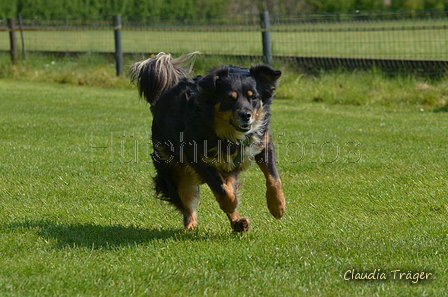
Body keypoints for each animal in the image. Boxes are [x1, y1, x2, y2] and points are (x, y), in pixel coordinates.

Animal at [128, 52, 286, 230]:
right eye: (229, 98)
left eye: (254, 97)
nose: (246, 115)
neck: (228, 134)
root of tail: (162, 98)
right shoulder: (194, 155)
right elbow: (221, 189)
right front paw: (230, 204)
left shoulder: (263, 143)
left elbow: (274, 179)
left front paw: (277, 206)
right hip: (173, 171)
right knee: (185, 203)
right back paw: (191, 224)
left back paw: (238, 222)